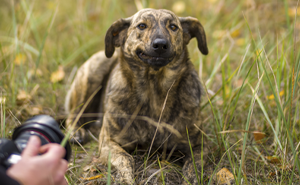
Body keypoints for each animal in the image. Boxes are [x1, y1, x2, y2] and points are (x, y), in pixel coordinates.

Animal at [66, 8, 209, 184]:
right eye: (141, 26)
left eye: (173, 27)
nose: (160, 44)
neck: (154, 91)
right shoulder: (108, 142)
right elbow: (125, 158)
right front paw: (126, 179)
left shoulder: (200, 145)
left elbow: (192, 168)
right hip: (93, 72)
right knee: (74, 113)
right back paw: (76, 132)